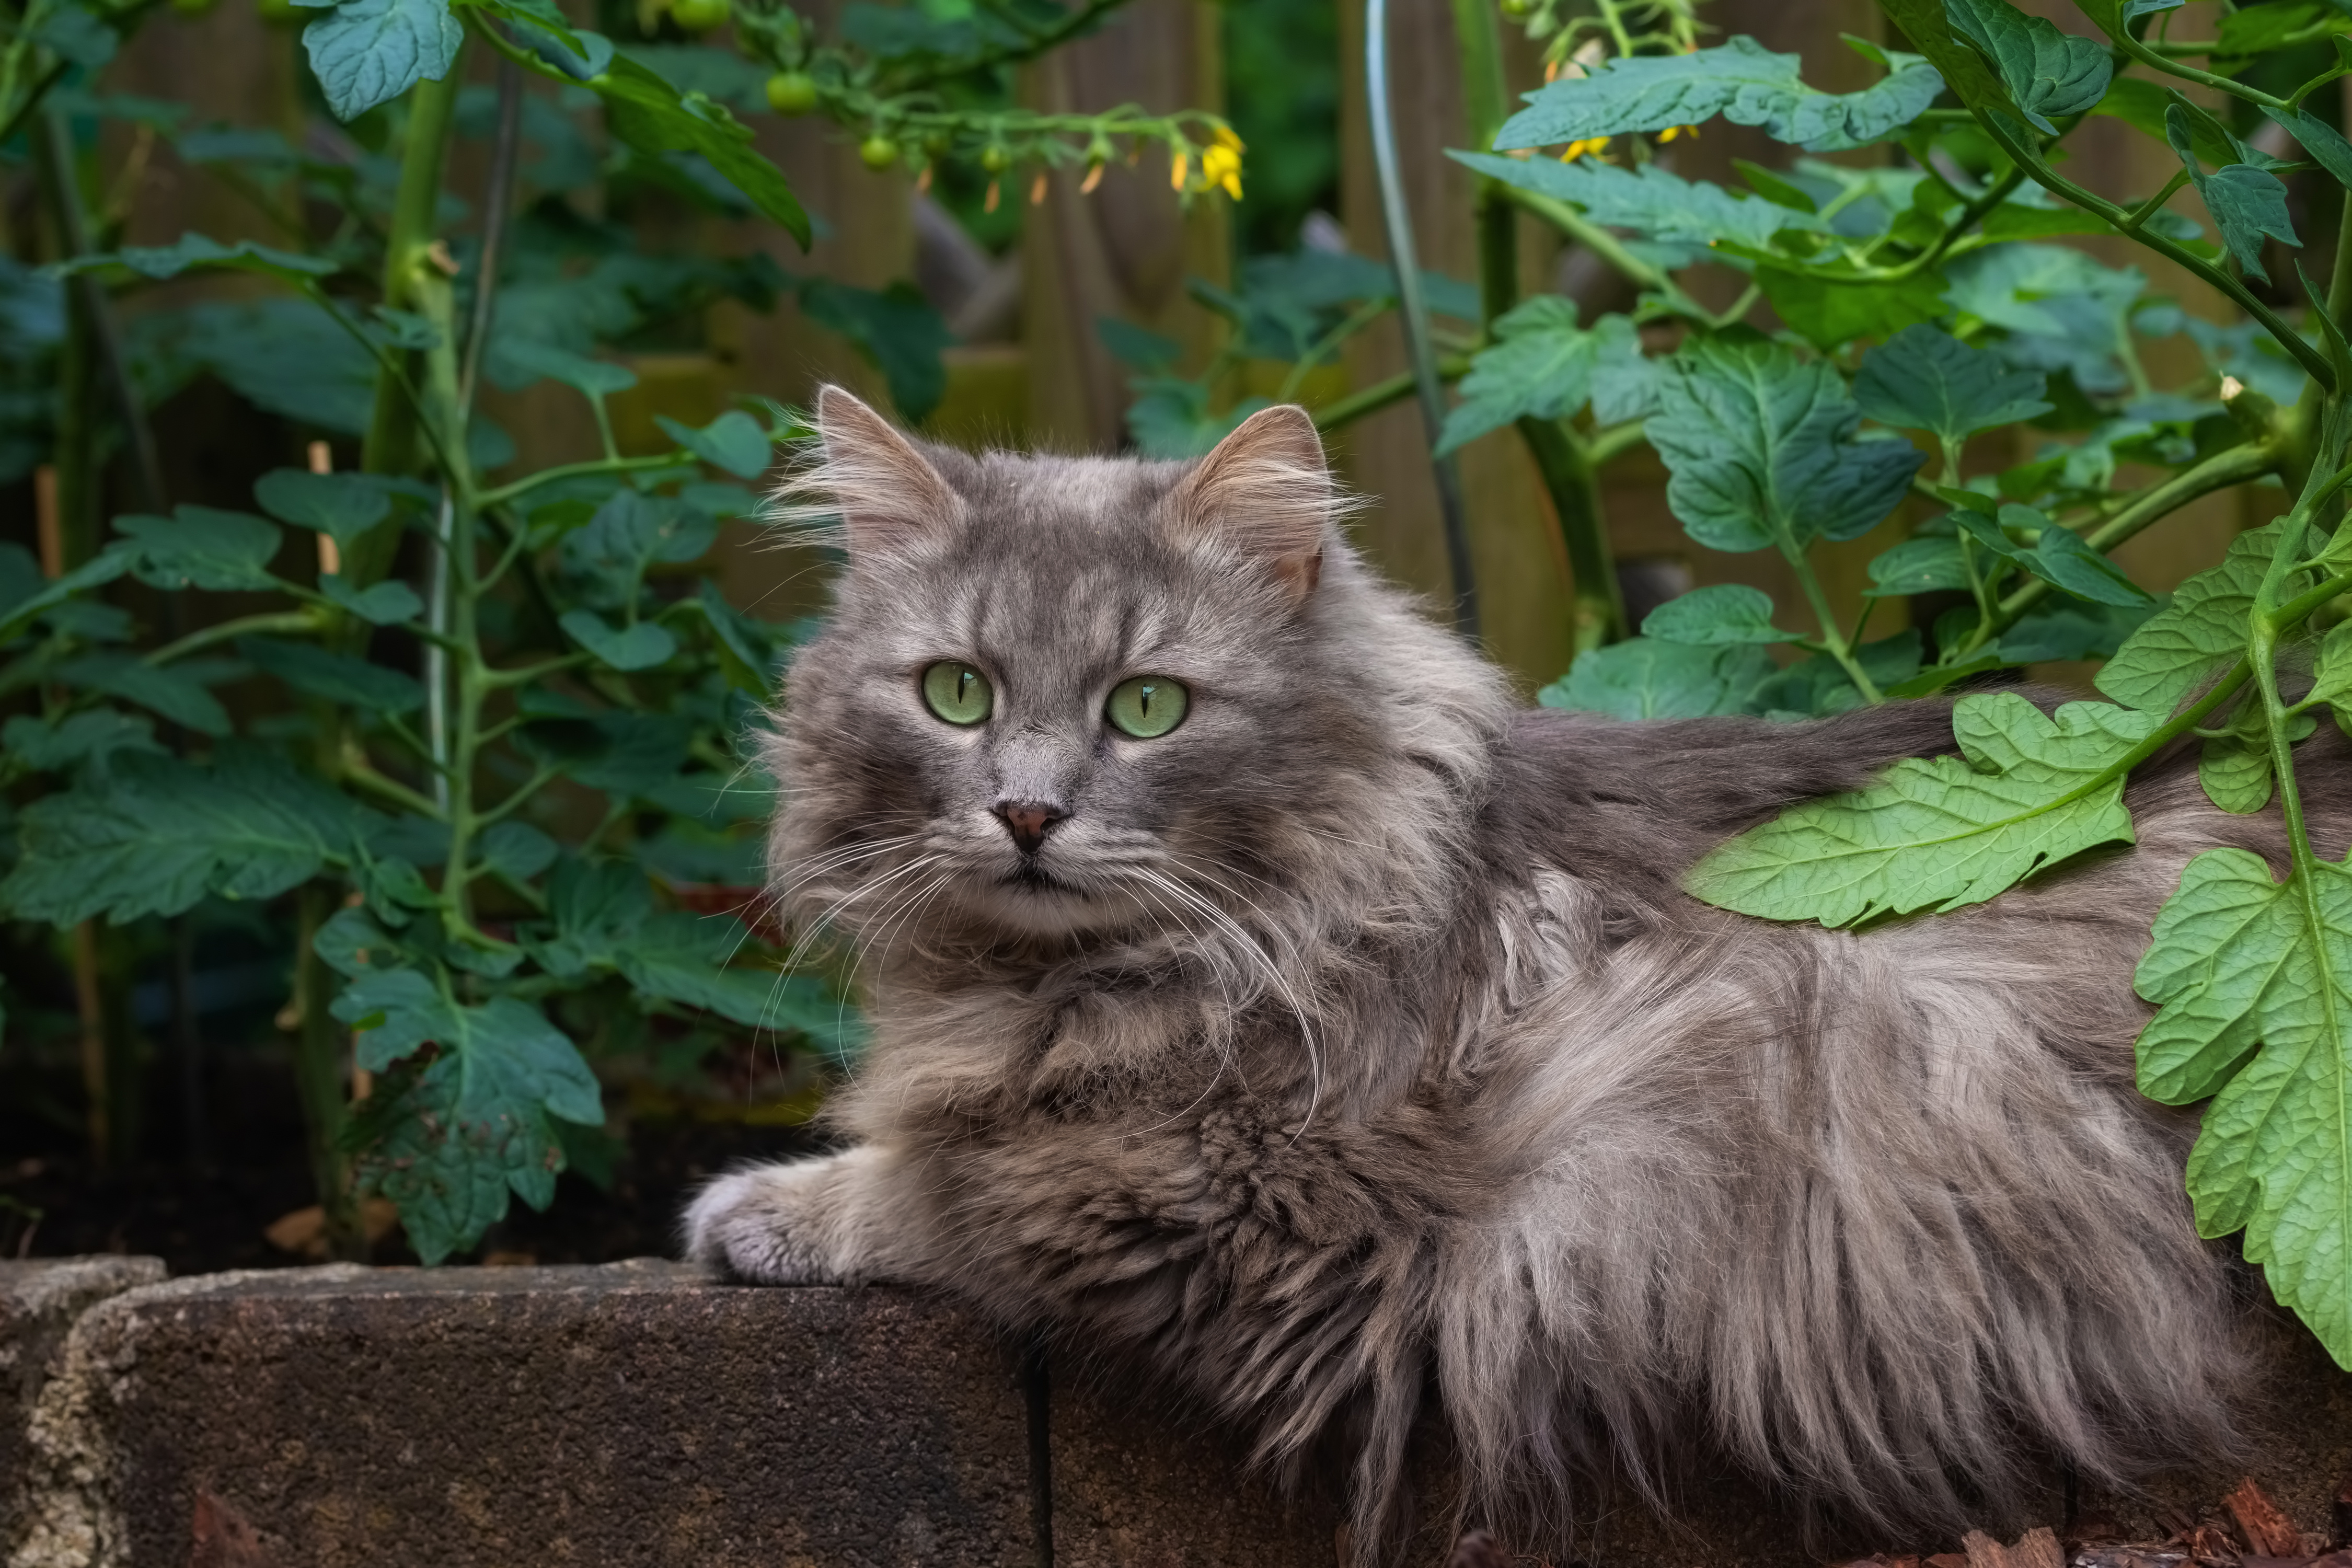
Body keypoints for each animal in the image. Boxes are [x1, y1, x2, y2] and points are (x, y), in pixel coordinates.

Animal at [687, 385, 2333, 1561]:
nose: (1025, 814)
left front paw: (765, 1206)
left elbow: (945, 1190)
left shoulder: (1225, 1202)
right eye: (955, 694)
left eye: (1147, 706)